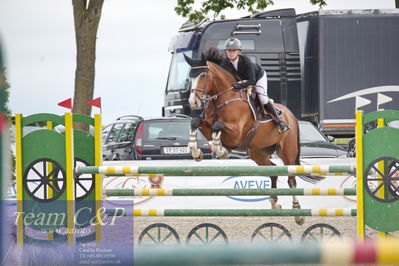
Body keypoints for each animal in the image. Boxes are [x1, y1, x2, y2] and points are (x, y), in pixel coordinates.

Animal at [187, 50, 322, 224]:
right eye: (190, 77)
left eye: (203, 75)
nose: (193, 102)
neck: (224, 98)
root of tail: (292, 116)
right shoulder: (207, 127)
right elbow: (195, 121)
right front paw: (196, 152)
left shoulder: (236, 133)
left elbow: (218, 126)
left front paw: (221, 151)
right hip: (258, 153)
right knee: (273, 170)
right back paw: (274, 203)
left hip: (288, 152)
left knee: (291, 179)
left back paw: (298, 213)